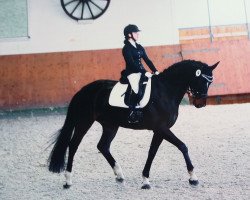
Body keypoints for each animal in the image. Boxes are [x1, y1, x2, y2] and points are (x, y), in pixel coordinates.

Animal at [47, 59, 219, 189]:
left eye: (210, 82)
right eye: (201, 80)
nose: (200, 103)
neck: (165, 91)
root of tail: (82, 91)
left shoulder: (159, 130)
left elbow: (152, 152)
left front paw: (145, 180)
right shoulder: (161, 128)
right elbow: (183, 146)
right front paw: (193, 177)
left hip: (110, 125)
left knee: (103, 146)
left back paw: (119, 175)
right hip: (84, 122)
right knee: (73, 145)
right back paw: (68, 181)